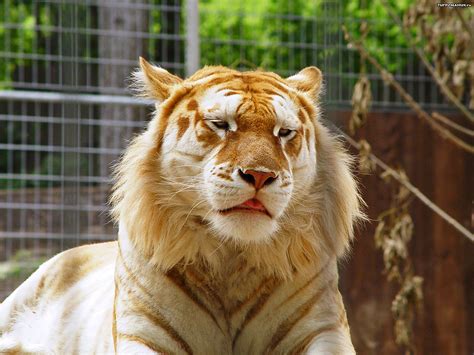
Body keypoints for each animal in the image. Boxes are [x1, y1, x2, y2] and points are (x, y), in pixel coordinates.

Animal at [0, 59, 362, 355]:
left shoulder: (324, 329)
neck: (233, 257)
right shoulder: (144, 333)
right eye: (220, 124)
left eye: (284, 132)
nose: (260, 175)